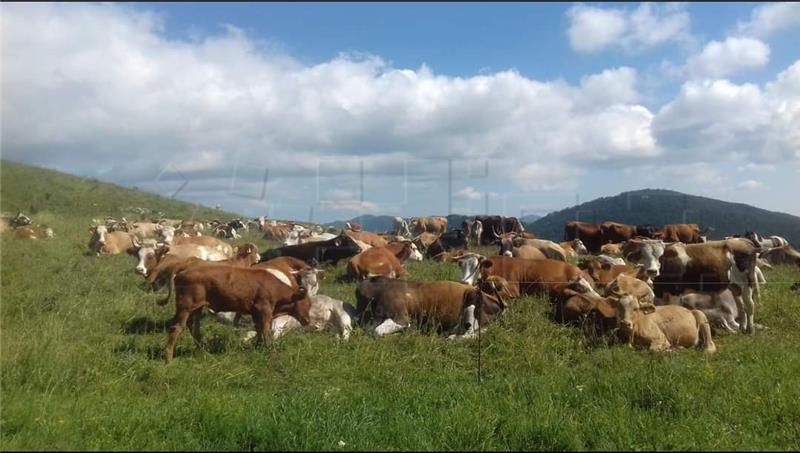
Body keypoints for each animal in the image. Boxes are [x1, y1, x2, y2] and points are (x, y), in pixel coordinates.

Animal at [156, 264, 312, 364]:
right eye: (306, 303)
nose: (308, 321)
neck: (273, 286)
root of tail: (183, 270)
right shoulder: (264, 310)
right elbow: (266, 332)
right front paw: (270, 351)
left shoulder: (256, 312)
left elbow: (259, 330)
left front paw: (258, 348)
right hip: (185, 307)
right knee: (176, 328)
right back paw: (168, 359)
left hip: (196, 308)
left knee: (194, 328)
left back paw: (202, 351)